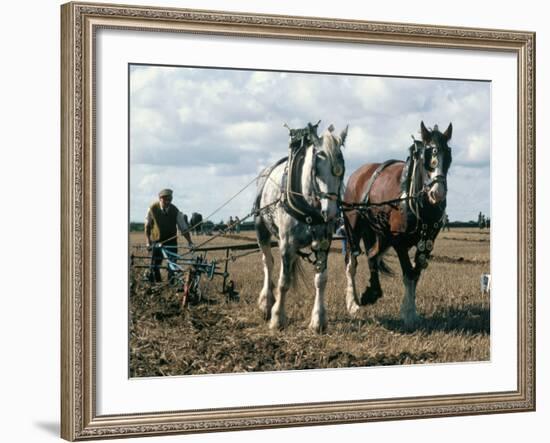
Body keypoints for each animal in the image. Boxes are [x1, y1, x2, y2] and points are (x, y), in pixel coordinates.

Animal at [342, 121, 454, 326]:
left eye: (448, 155)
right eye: (427, 155)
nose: (438, 192)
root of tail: (359, 173)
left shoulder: (427, 243)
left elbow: (415, 274)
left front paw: (410, 311)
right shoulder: (399, 241)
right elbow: (409, 274)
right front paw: (408, 313)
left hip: (381, 235)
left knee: (373, 255)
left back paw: (372, 292)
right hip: (353, 229)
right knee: (351, 262)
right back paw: (352, 302)